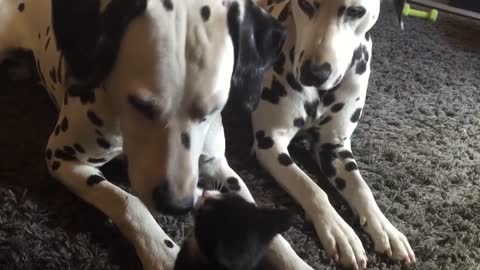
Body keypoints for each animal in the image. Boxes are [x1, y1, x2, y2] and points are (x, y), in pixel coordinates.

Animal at [0, 0, 316, 270]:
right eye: (140, 104)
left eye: (214, 108)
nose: (176, 204)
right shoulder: (63, 159)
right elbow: (129, 202)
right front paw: (162, 252)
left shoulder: (216, 165)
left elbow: (254, 211)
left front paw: (295, 260)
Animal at [251, 0, 416, 268]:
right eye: (306, 4)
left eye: (356, 12)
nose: (314, 73)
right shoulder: (270, 142)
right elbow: (310, 186)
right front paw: (340, 231)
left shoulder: (335, 148)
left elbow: (361, 188)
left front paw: (385, 229)